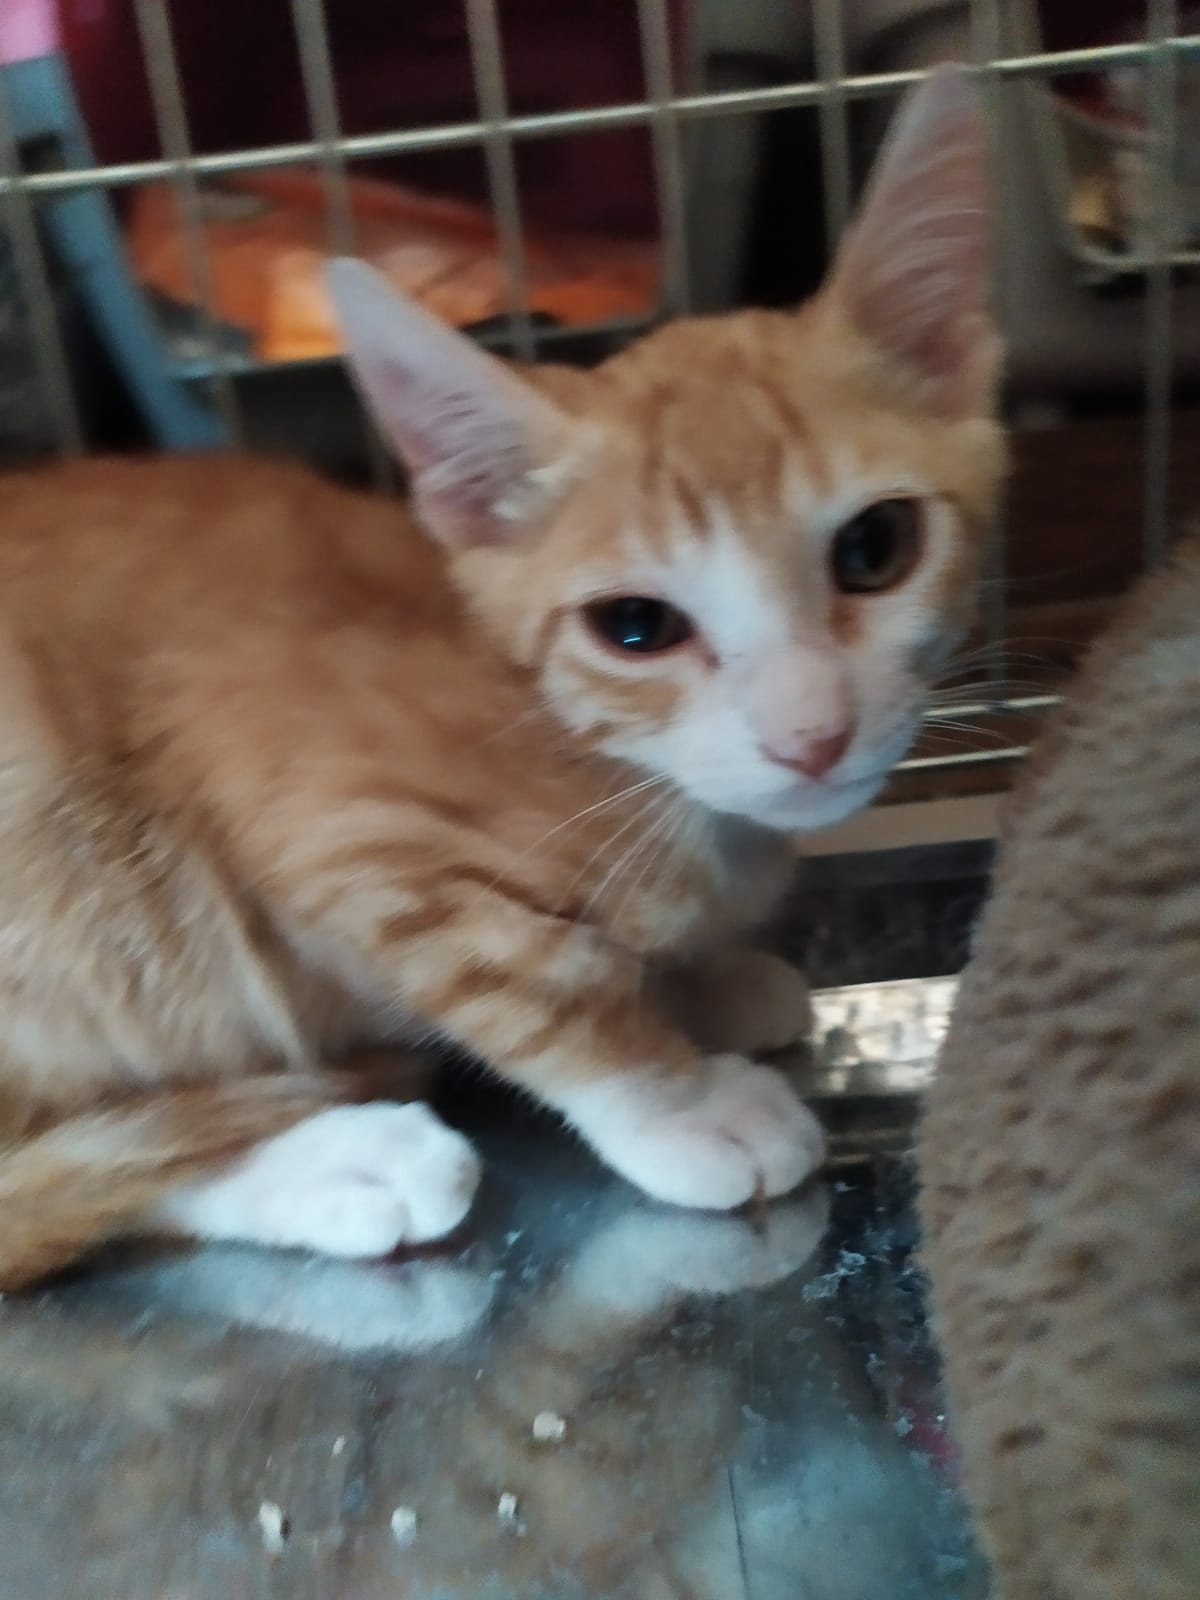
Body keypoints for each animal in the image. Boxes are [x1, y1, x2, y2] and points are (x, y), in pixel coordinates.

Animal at [0, 65, 1003, 1289]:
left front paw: (704, 982)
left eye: (876, 549)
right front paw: (680, 1099)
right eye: (635, 627)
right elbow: (542, 977)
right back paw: (344, 1162)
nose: (809, 736)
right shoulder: (331, 831)